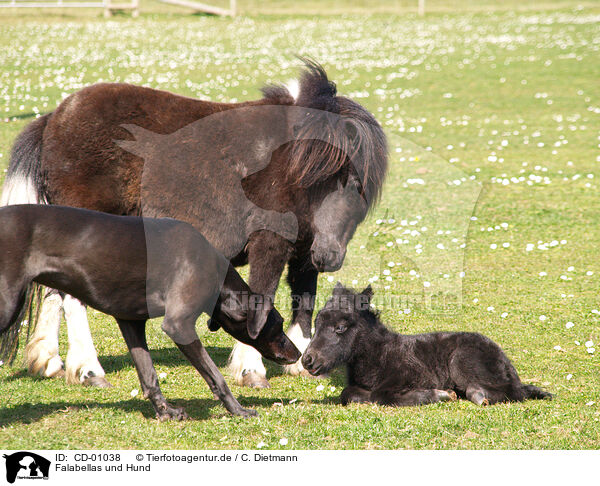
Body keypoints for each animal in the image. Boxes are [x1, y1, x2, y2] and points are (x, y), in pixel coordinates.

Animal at [0, 203, 300, 420]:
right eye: (278, 324)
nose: (297, 354)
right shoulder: (179, 326)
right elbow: (216, 377)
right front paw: (238, 410)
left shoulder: (131, 322)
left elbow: (149, 376)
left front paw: (165, 412)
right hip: (8, 305)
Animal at [1, 58, 390, 390]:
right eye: (323, 175)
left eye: (360, 185)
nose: (329, 256)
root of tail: (52, 120)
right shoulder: (270, 243)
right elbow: (262, 298)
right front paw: (251, 368)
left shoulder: (303, 253)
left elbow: (303, 302)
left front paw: (302, 362)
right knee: (71, 298)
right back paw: (88, 369)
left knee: (53, 290)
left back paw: (49, 361)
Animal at [302, 282, 552, 408]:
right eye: (316, 322)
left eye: (340, 328)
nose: (307, 360)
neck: (379, 355)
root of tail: (505, 360)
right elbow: (349, 393)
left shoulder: (410, 375)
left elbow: (382, 396)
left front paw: (441, 395)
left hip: (462, 361)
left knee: (515, 391)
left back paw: (476, 395)